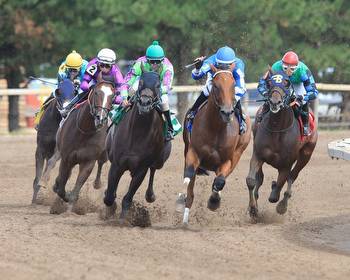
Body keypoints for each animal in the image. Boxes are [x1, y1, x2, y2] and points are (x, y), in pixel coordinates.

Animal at [51, 73, 113, 211]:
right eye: (96, 92)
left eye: (113, 95)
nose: (101, 118)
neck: (84, 131)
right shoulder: (66, 158)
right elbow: (61, 186)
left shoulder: (88, 161)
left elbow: (76, 187)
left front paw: (70, 204)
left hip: (103, 154)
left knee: (101, 163)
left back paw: (97, 183)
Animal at [102, 69, 172, 221]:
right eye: (140, 82)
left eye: (158, 85)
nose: (145, 103)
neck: (137, 134)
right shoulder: (117, 164)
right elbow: (109, 196)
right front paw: (111, 207)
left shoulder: (141, 168)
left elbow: (128, 198)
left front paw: (123, 220)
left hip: (159, 160)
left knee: (153, 170)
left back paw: (150, 195)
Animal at [178, 64, 252, 225]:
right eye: (216, 86)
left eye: (233, 85)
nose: (227, 112)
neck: (216, 128)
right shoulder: (193, 152)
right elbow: (189, 175)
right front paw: (181, 200)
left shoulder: (227, 160)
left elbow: (219, 181)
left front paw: (214, 201)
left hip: (238, 153)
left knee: (220, 180)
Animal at [246, 68, 318, 221]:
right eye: (269, 82)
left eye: (287, 83)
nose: (274, 102)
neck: (277, 129)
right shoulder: (258, 155)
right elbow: (251, 180)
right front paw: (253, 209)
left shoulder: (286, 165)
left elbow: (277, 189)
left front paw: (278, 201)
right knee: (260, 179)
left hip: (306, 155)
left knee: (292, 176)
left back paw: (283, 204)